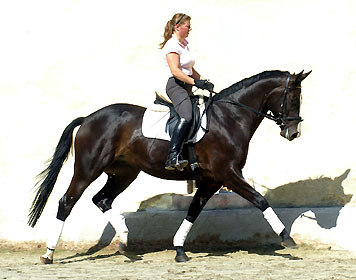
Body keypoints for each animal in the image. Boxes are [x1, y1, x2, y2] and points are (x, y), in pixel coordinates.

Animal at [28, 69, 312, 262]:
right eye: (293, 98)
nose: (293, 132)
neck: (230, 118)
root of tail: (88, 118)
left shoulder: (212, 180)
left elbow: (193, 211)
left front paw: (179, 250)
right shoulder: (228, 174)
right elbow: (260, 199)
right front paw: (287, 238)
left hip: (124, 173)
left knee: (102, 199)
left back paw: (124, 239)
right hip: (88, 169)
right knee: (67, 201)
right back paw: (49, 254)